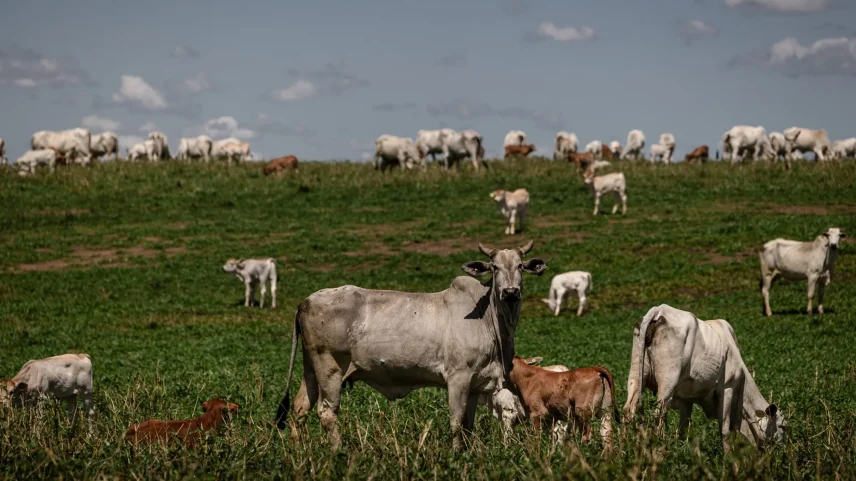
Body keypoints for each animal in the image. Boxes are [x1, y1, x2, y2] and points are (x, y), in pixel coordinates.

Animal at [275, 241, 547, 451]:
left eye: (520, 266)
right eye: (495, 267)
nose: (510, 292)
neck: (490, 320)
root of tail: (305, 301)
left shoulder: (476, 384)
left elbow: (468, 426)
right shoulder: (458, 378)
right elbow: (456, 421)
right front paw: (457, 455)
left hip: (311, 368)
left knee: (300, 408)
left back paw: (298, 452)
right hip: (330, 368)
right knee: (326, 412)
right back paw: (336, 452)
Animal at [624, 305, 785, 449]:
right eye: (782, 426)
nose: (783, 448)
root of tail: (659, 310)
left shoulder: (686, 400)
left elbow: (683, 429)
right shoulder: (727, 388)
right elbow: (724, 429)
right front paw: (728, 456)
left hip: (636, 373)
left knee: (628, 409)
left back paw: (625, 447)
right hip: (667, 382)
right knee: (658, 413)